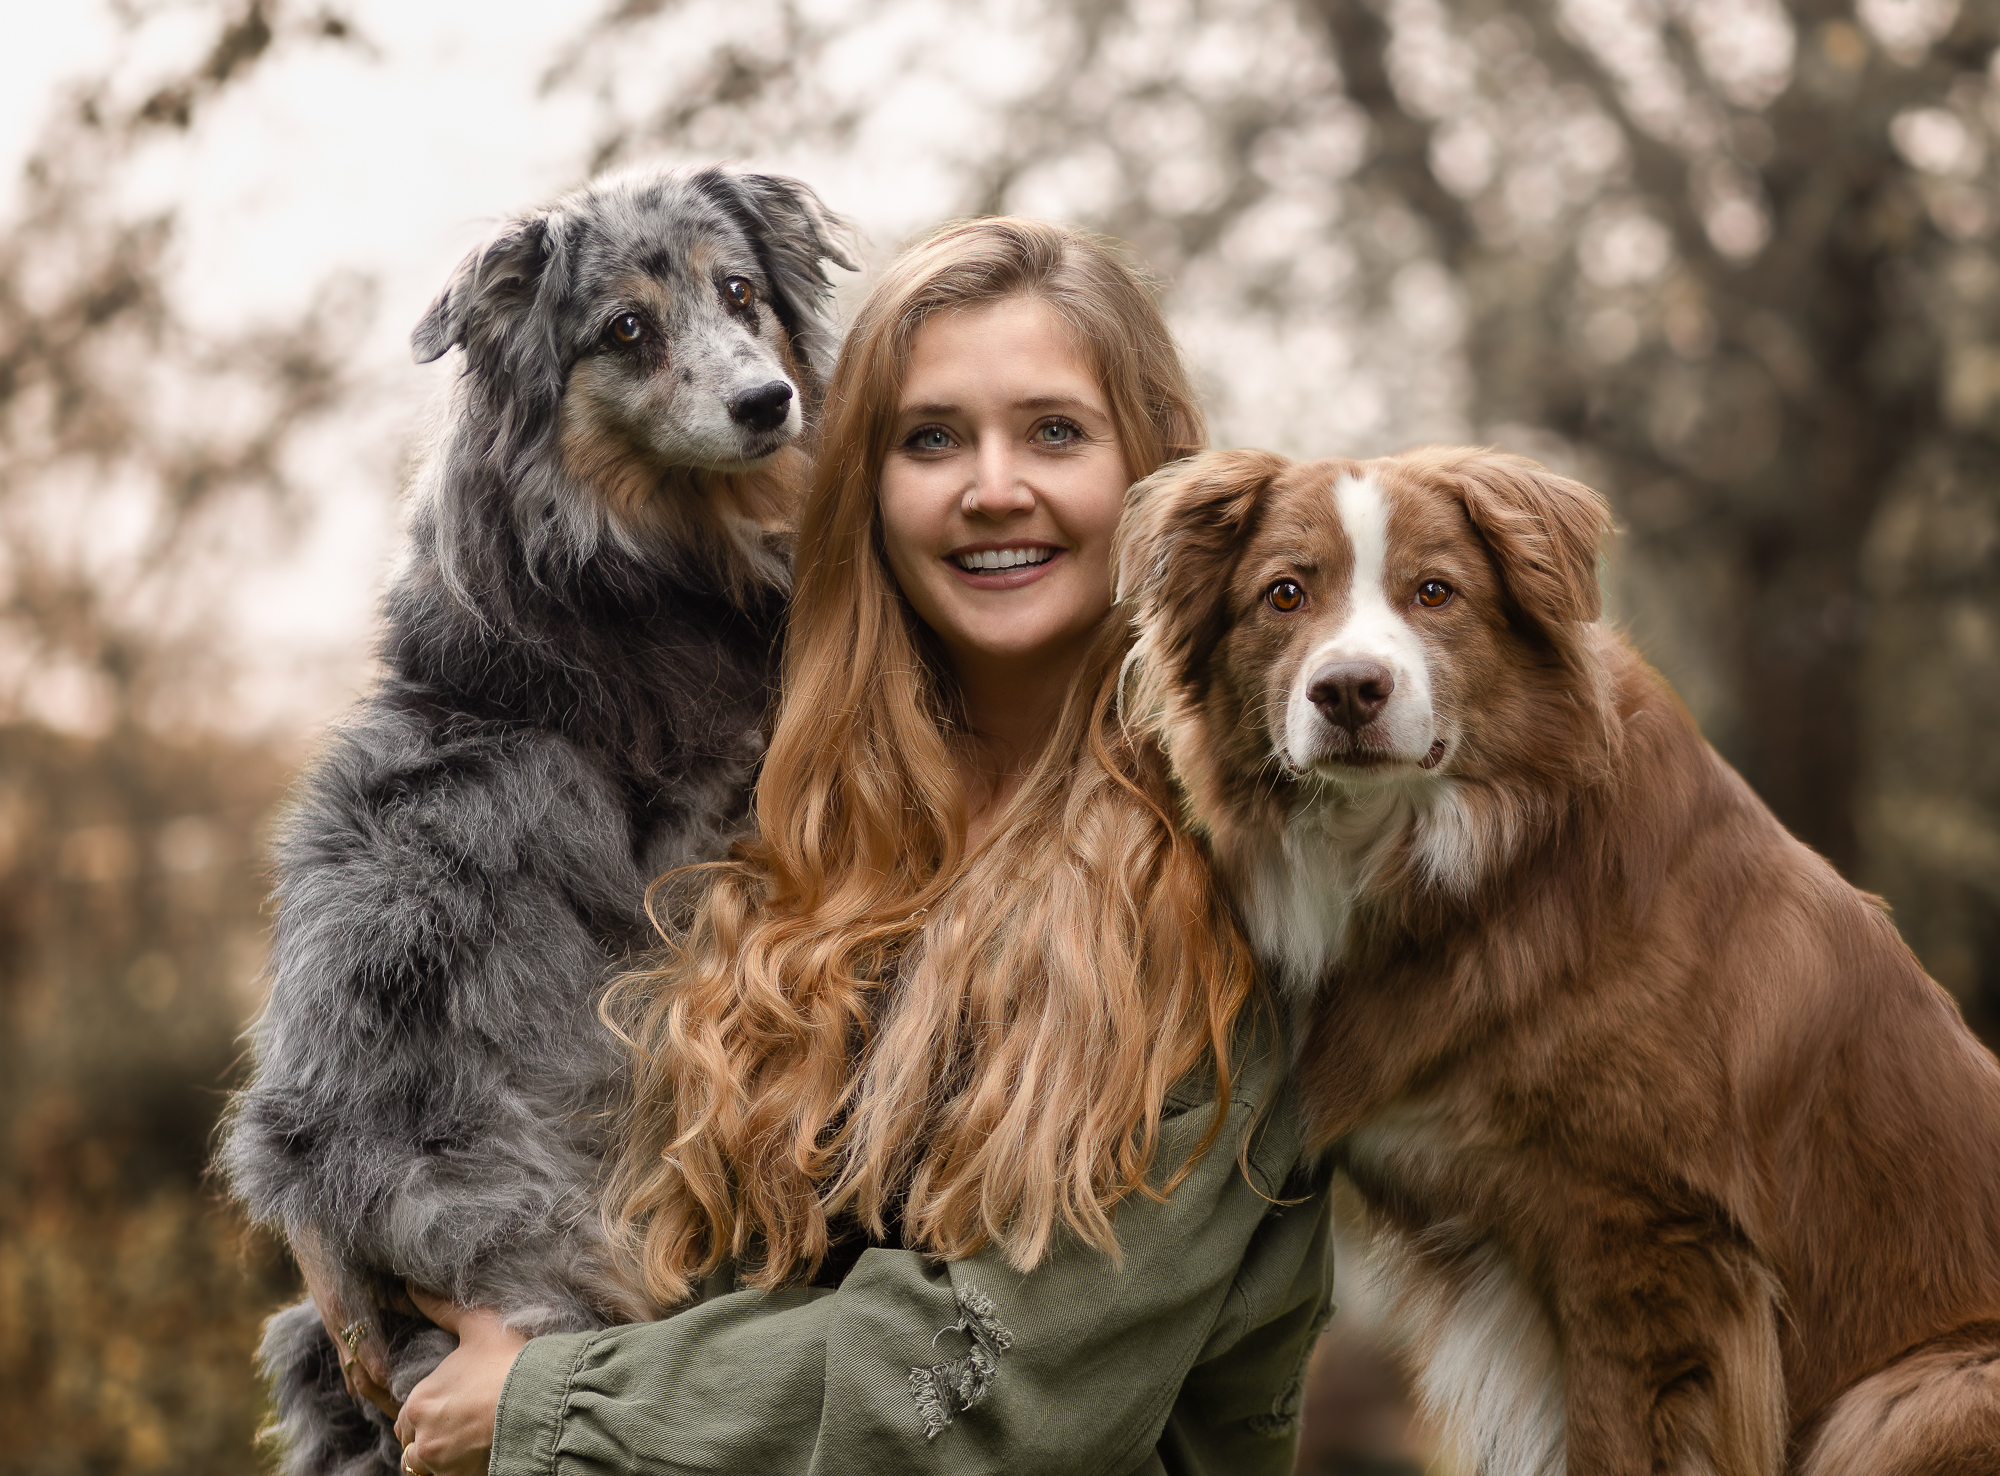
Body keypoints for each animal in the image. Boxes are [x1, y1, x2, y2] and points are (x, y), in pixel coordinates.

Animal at [1120, 446, 2000, 1472]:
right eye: (1285, 594)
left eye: (1435, 591)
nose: (1347, 690)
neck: (1484, 855)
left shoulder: (1649, 1245)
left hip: (1917, 1395)